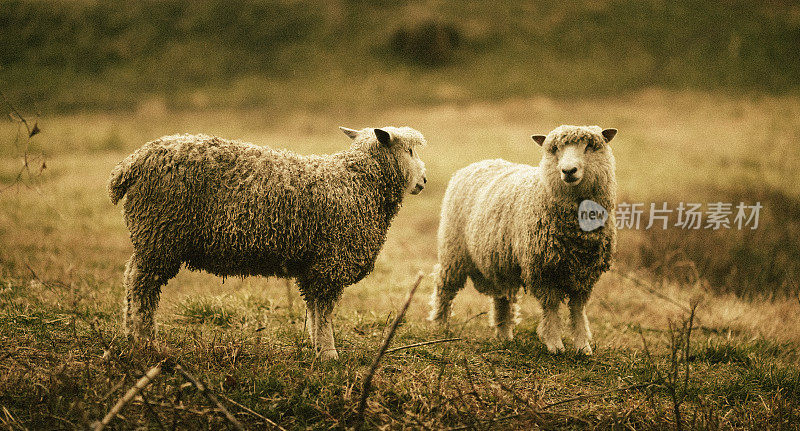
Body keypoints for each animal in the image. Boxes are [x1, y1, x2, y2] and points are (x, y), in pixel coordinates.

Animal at [111, 128, 432, 362]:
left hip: (152, 236)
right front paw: (329, 353)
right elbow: (325, 310)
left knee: (131, 278)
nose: (425, 181)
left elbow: (314, 309)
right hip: (161, 233)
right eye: (409, 150)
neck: (358, 183)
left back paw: (131, 336)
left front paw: (317, 347)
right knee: (142, 285)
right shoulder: (330, 261)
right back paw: (146, 342)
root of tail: (130, 165)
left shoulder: (313, 265)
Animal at [428, 124, 616, 354]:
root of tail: (479, 163)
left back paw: (503, 334)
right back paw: (440, 325)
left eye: (590, 146)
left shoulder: (585, 273)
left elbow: (578, 309)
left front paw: (583, 346)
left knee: (501, 297)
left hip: (498, 259)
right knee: (444, 287)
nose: (568, 171)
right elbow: (551, 307)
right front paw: (554, 344)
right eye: (554, 149)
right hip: (453, 251)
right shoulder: (542, 269)